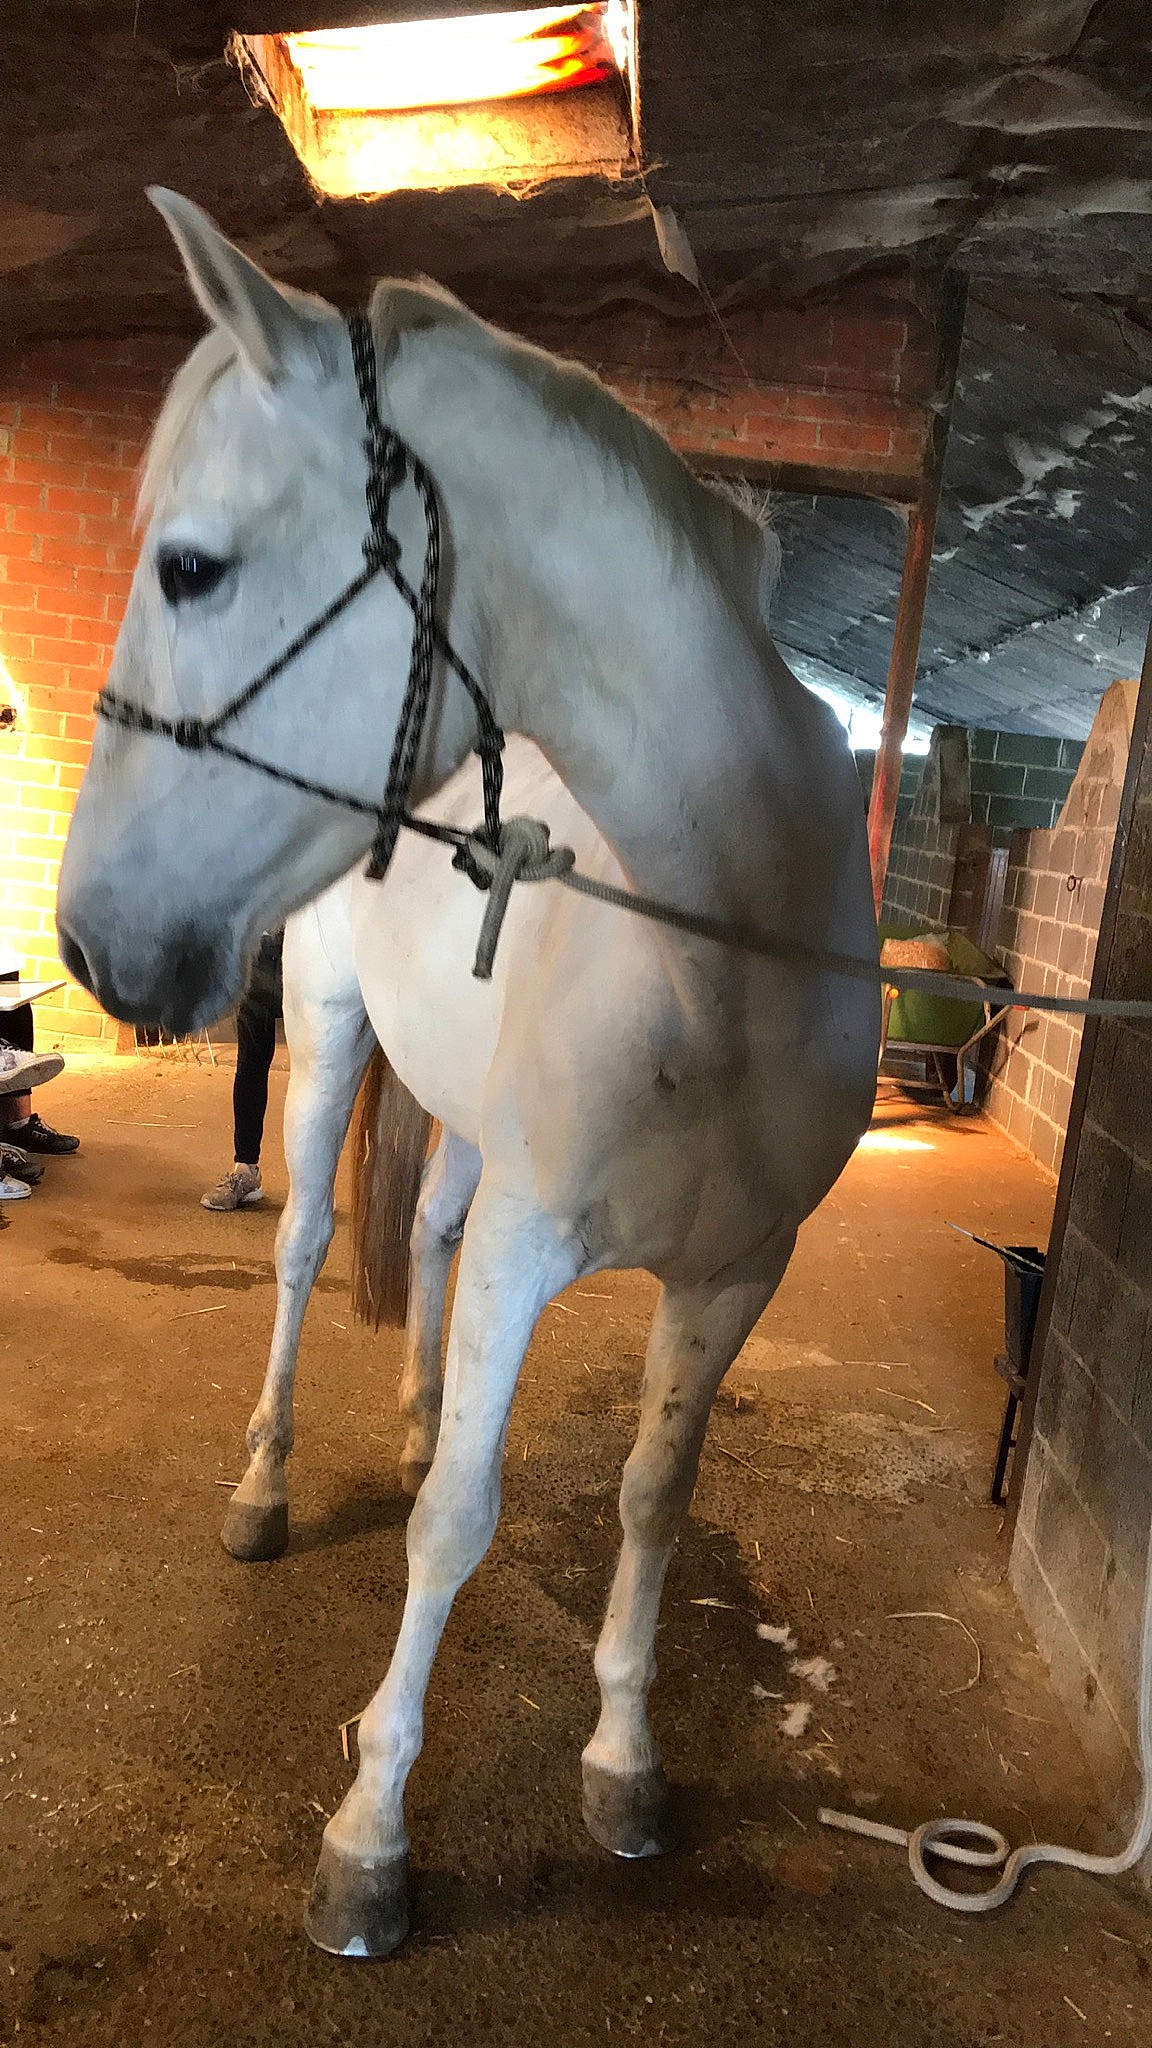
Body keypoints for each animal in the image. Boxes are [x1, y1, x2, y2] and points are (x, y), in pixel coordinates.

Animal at [56, 189, 880, 1957]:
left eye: (192, 567)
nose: (89, 943)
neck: (719, 954)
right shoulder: (527, 1249)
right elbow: (457, 1526)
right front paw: (368, 1841)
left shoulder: (732, 1279)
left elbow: (650, 1498)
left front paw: (626, 1766)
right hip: (323, 1044)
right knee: (307, 1251)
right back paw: (267, 1488)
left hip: (453, 1122)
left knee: (419, 1234)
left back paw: (420, 1415)